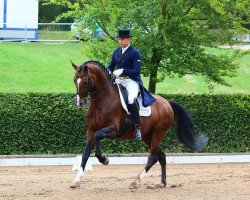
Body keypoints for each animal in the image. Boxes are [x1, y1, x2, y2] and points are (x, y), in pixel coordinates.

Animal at [69, 60, 208, 188]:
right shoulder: (90, 131)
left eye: (85, 81)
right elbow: (85, 154)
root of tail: (167, 103)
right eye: (75, 80)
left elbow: (98, 136)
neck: (102, 101)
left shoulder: (113, 130)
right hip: (147, 136)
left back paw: (136, 181)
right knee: (161, 156)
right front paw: (76, 180)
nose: (79, 102)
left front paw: (104, 159)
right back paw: (162, 182)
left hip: (158, 133)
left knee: (153, 157)